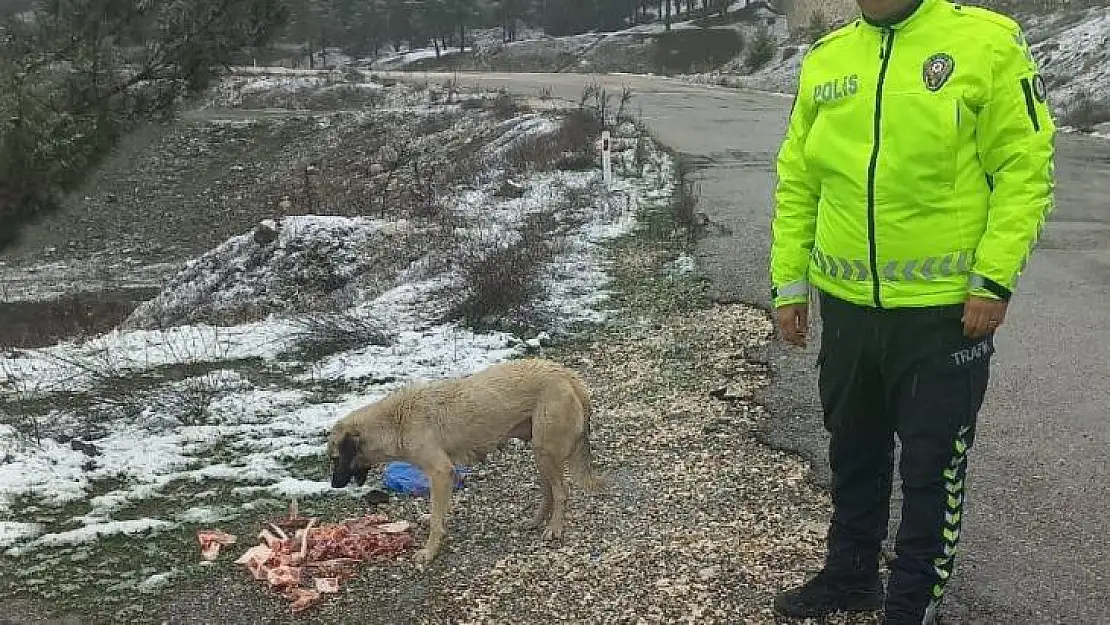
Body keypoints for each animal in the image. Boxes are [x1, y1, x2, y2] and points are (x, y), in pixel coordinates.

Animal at [324, 357, 603, 568]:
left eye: (336, 458)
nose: (334, 485)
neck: (396, 421)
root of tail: (567, 374)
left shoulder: (440, 472)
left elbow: (435, 520)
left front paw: (430, 551)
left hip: (545, 450)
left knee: (561, 492)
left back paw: (554, 527)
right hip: (540, 450)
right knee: (549, 490)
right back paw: (535, 521)